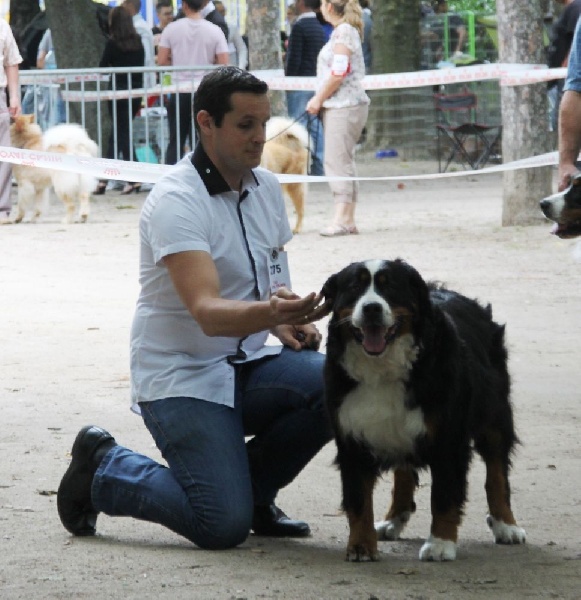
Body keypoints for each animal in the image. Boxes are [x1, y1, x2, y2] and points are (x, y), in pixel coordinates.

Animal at [320, 259, 526, 562]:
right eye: (354, 287)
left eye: (390, 286)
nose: (372, 308)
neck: (382, 369)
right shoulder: (352, 435)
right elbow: (358, 499)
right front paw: (361, 545)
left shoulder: (448, 437)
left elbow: (444, 495)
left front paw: (440, 543)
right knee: (404, 472)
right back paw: (393, 520)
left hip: (495, 416)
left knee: (496, 472)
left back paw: (506, 525)